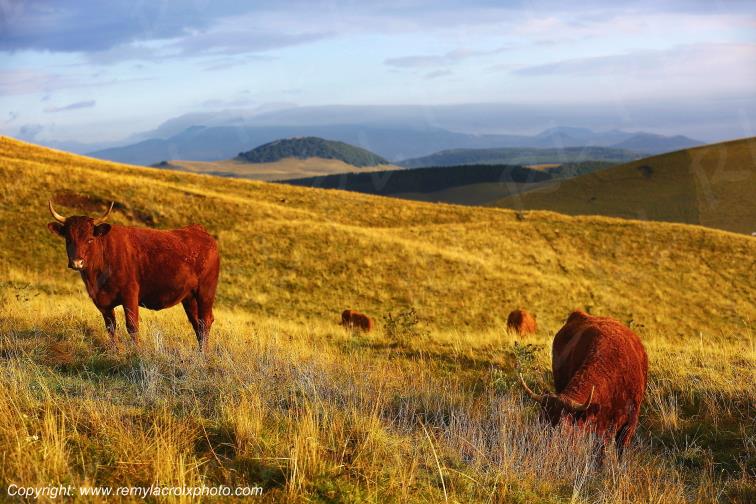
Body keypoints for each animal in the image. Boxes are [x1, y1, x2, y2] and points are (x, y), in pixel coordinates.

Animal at [47, 201, 220, 352]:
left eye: (90, 239)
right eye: (68, 239)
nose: (77, 262)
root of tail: (198, 230)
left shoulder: (130, 294)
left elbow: (132, 326)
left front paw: (137, 352)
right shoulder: (102, 301)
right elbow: (110, 327)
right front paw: (115, 351)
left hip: (206, 291)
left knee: (205, 321)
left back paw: (204, 355)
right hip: (189, 297)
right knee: (197, 322)